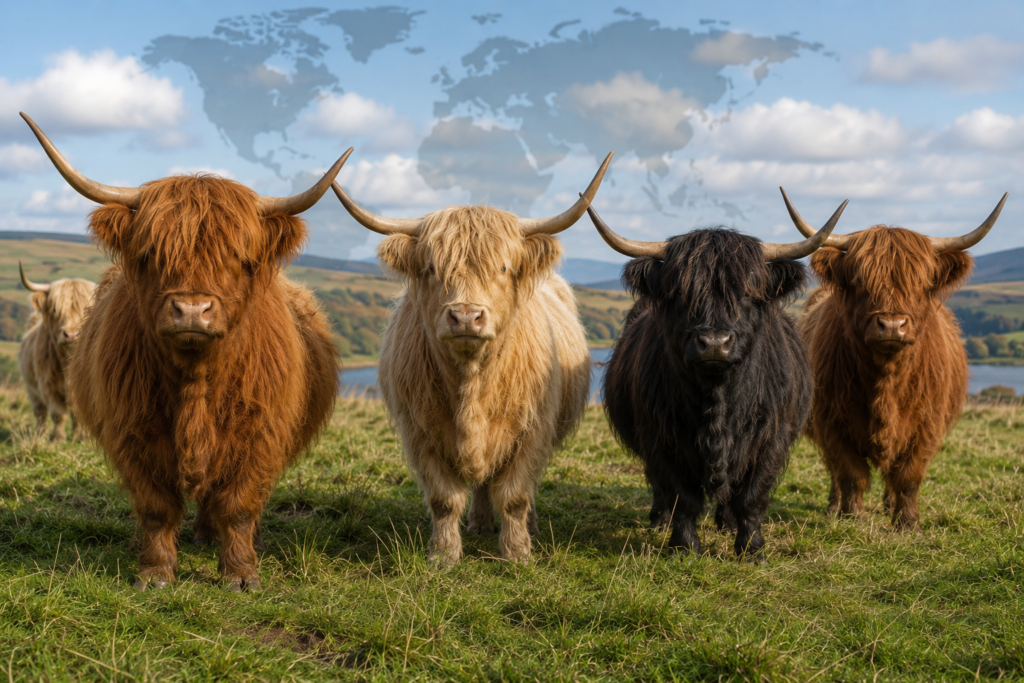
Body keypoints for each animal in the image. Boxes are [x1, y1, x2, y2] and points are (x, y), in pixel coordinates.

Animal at [17, 263, 96, 441]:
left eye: (87, 309)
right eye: (54, 310)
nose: (71, 334)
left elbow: (79, 414)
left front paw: (81, 438)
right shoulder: (47, 385)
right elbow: (57, 413)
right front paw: (58, 438)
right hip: (31, 389)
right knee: (40, 412)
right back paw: (40, 434)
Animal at [329, 153, 611, 564]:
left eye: (504, 268)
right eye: (432, 268)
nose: (465, 316)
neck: (471, 380)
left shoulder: (533, 429)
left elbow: (515, 495)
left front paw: (517, 553)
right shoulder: (420, 432)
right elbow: (444, 499)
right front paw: (443, 555)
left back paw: (530, 526)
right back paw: (479, 523)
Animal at [587, 195, 847, 561]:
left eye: (748, 293)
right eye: (681, 293)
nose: (714, 343)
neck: (718, 399)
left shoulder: (772, 438)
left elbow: (751, 496)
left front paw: (751, 550)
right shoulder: (659, 436)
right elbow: (681, 495)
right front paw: (684, 547)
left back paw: (725, 523)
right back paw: (659, 521)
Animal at [786, 189, 1007, 530]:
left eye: (921, 283)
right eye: (860, 281)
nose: (891, 325)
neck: (886, 379)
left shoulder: (927, 424)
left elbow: (908, 476)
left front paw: (907, 523)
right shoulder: (831, 422)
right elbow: (850, 473)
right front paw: (854, 518)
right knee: (835, 473)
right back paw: (834, 507)